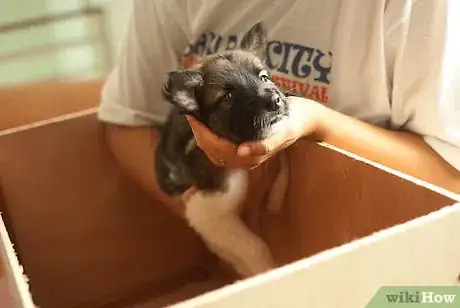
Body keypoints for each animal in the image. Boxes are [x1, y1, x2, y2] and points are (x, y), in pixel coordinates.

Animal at [156, 21, 290, 276]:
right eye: (227, 97)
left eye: (264, 77)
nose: (275, 101)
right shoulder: (208, 211)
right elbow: (253, 247)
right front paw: (268, 271)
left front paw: (276, 201)